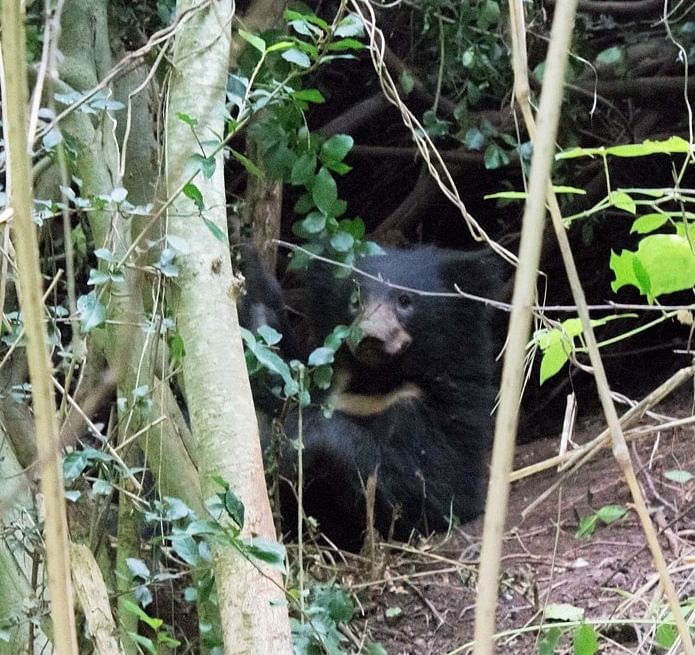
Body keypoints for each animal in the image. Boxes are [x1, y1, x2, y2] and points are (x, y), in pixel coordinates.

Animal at [239, 246, 506, 548]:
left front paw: (291, 445)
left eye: (404, 300)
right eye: (355, 300)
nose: (370, 336)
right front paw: (251, 270)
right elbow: (280, 378)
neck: (375, 381)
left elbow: (429, 491)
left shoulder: (448, 415)